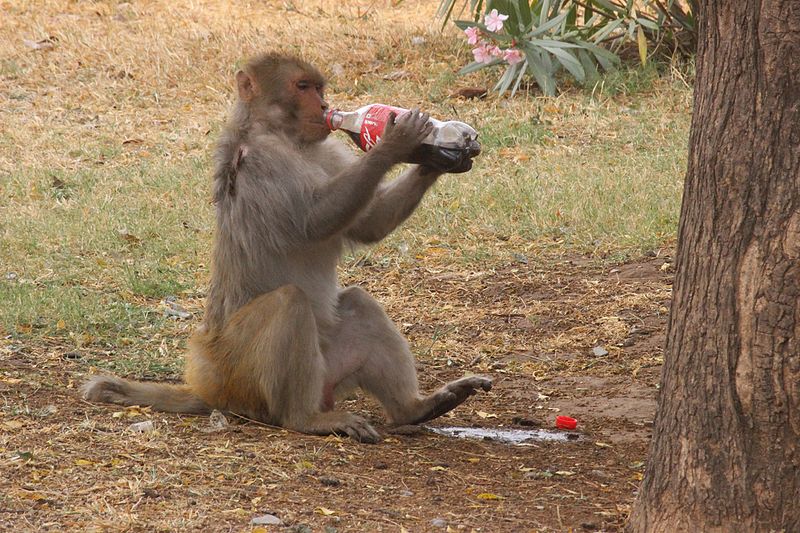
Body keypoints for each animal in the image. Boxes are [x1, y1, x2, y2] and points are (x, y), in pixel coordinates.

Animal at [84, 52, 490, 442]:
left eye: (318, 87)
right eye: (302, 86)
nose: (326, 105)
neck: (283, 135)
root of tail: (209, 384)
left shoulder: (325, 150)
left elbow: (368, 223)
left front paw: (440, 155)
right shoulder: (263, 161)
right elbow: (314, 221)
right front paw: (397, 141)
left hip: (328, 370)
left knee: (358, 303)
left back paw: (415, 408)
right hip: (241, 373)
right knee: (289, 303)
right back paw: (305, 419)